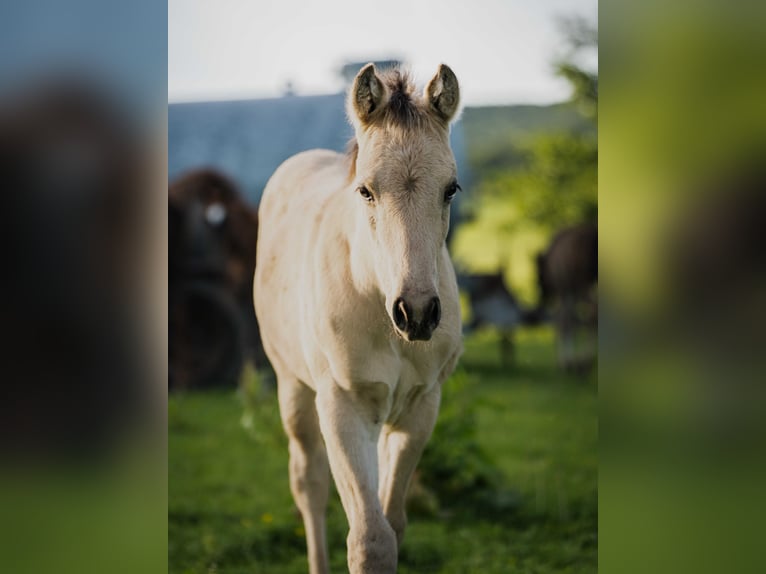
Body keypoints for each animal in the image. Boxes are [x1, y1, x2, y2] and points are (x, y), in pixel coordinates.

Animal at [254, 64, 463, 574]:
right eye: (366, 190)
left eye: (451, 189)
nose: (417, 313)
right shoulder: (342, 406)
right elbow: (369, 539)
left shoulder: (419, 407)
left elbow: (393, 524)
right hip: (292, 386)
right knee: (308, 483)